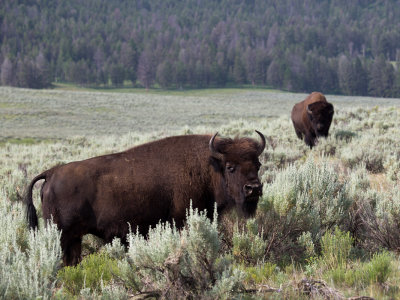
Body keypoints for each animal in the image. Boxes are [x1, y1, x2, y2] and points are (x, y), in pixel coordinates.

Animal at [25, 131, 266, 264]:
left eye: (258, 164)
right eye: (230, 166)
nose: (253, 188)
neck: (209, 167)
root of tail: (51, 173)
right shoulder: (182, 222)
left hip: (74, 238)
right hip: (62, 235)